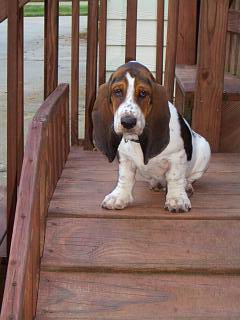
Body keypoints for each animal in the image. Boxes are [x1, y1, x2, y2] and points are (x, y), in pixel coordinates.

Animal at [92, 62, 210, 212]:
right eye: (117, 91)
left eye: (143, 93)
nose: (128, 122)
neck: (137, 140)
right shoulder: (125, 158)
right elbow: (125, 178)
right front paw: (118, 197)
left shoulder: (177, 156)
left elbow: (175, 177)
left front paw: (176, 199)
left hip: (205, 149)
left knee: (188, 178)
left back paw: (186, 187)